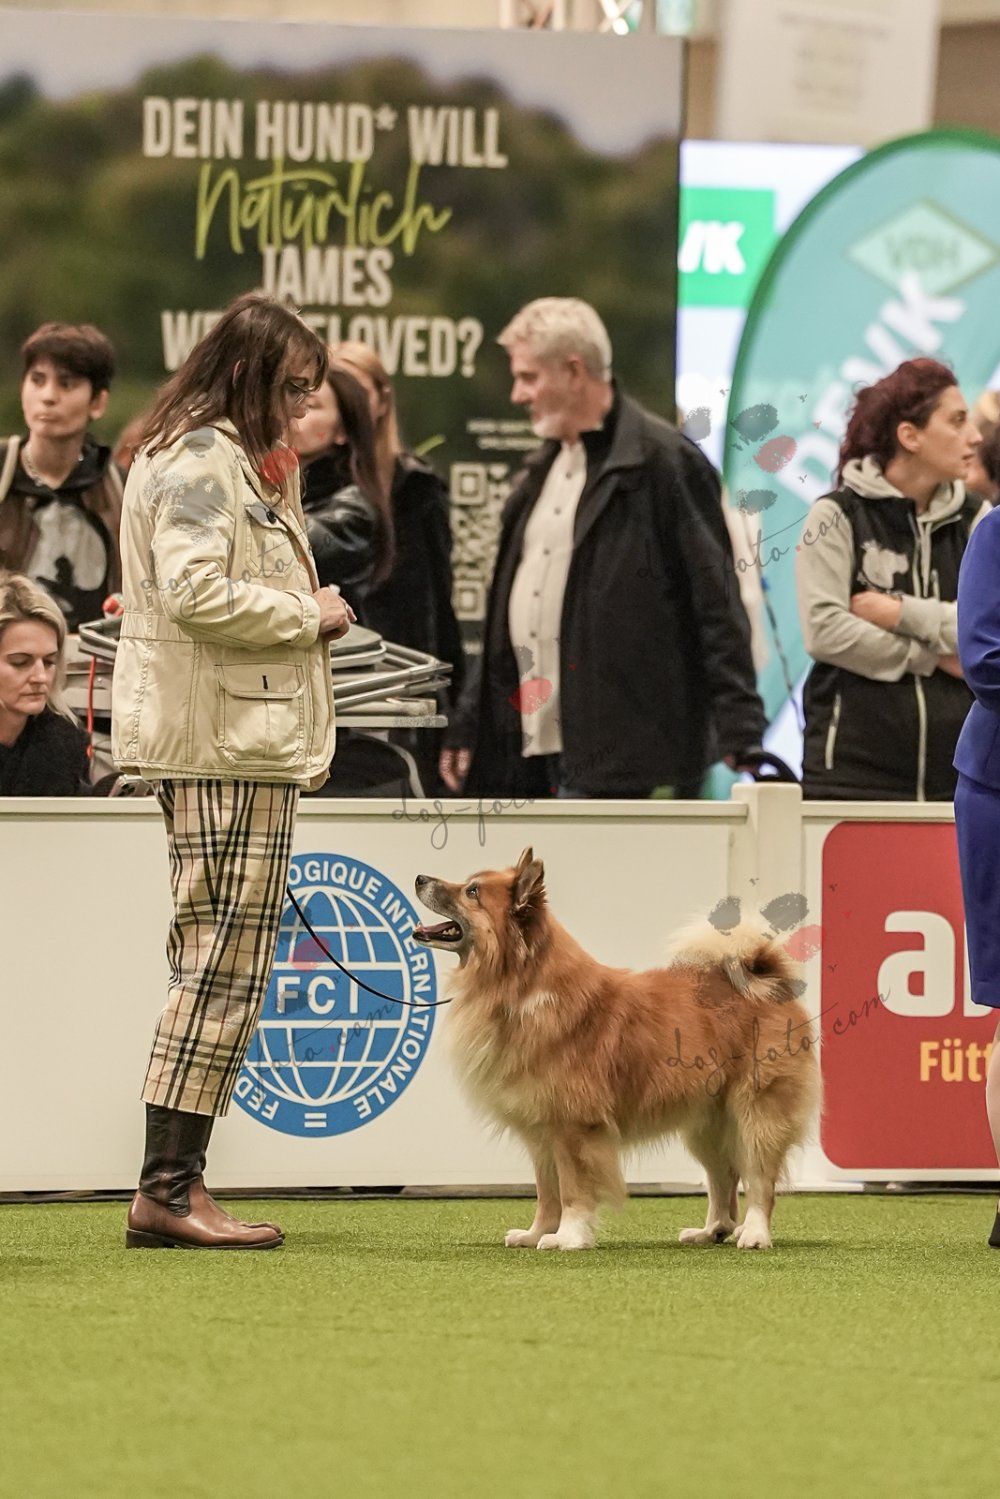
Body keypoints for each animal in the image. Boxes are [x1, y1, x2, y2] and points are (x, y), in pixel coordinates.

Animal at [413, 848, 819, 1252]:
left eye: (472, 891)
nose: (419, 878)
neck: (520, 988)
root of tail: (767, 977)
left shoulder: (575, 1127)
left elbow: (572, 1192)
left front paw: (569, 1237)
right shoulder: (542, 1133)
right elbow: (547, 1194)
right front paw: (536, 1234)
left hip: (757, 1115)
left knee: (759, 1181)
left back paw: (754, 1233)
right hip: (707, 1126)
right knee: (724, 1178)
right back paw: (712, 1230)